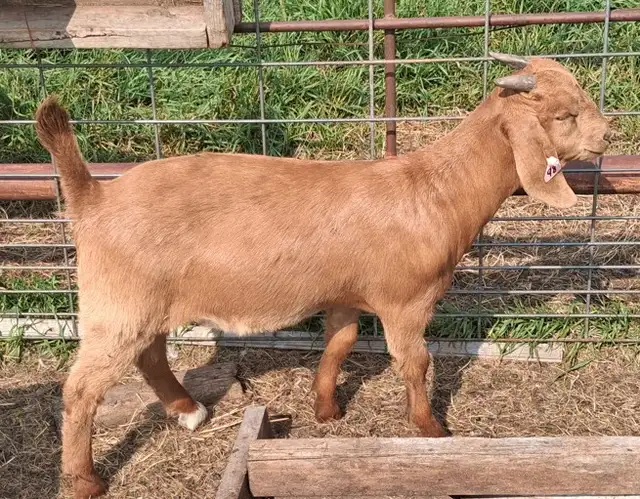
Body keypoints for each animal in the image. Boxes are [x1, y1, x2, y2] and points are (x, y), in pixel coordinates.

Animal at [34, 52, 611, 498]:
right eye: (564, 114)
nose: (608, 136)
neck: (435, 190)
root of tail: (94, 197)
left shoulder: (345, 292)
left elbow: (341, 342)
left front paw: (327, 408)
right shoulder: (407, 300)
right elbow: (416, 361)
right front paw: (431, 428)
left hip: (146, 302)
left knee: (150, 354)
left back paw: (188, 410)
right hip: (119, 303)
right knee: (82, 389)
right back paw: (86, 480)